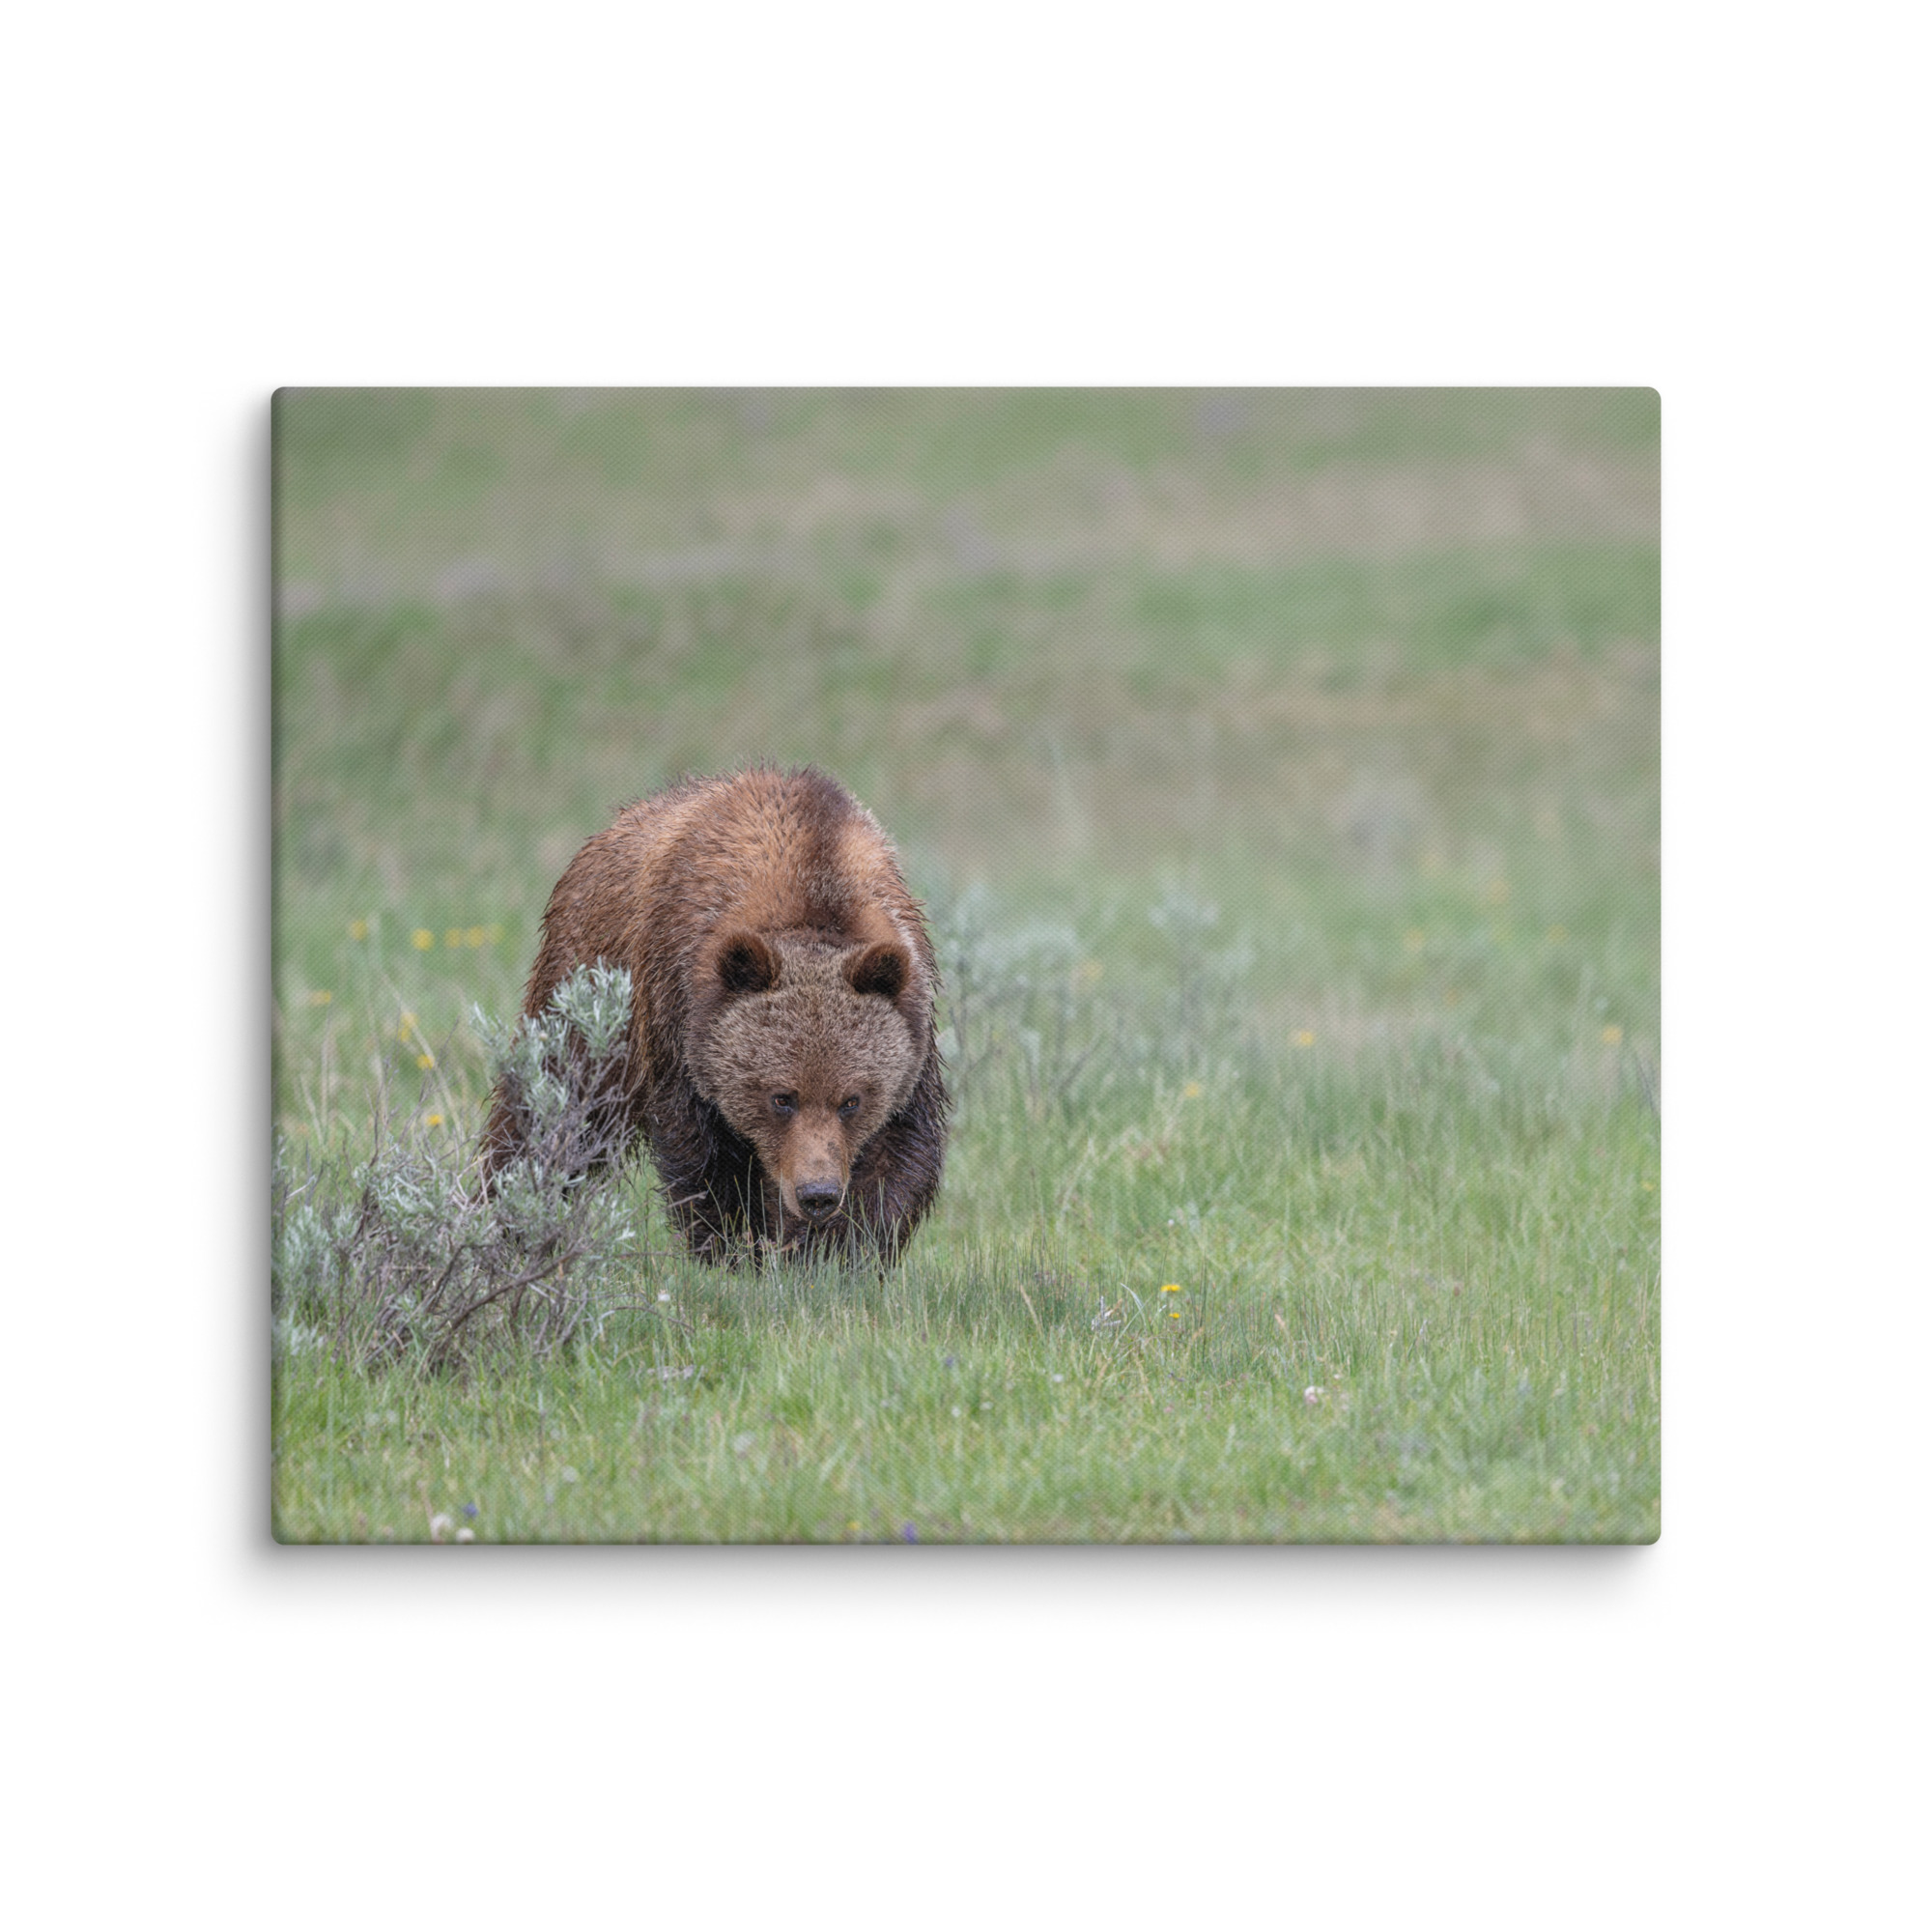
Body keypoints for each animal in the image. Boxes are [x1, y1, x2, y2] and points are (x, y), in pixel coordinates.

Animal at [482, 765, 950, 1265]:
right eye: (781, 1097)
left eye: (852, 1100)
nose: (817, 1194)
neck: (813, 885)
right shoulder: (678, 1015)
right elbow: (706, 1158)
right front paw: (735, 1249)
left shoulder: (912, 1027)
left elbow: (896, 1156)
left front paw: (836, 1253)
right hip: (586, 990)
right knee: (550, 1108)